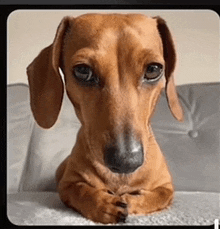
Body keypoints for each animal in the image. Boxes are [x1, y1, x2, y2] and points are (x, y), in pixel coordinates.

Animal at [26, 13, 183, 225]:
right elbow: (80, 190)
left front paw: (131, 200)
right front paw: (104, 205)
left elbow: (157, 196)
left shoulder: (166, 187)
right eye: (83, 71)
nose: (126, 161)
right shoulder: (67, 185)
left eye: (153, 69)